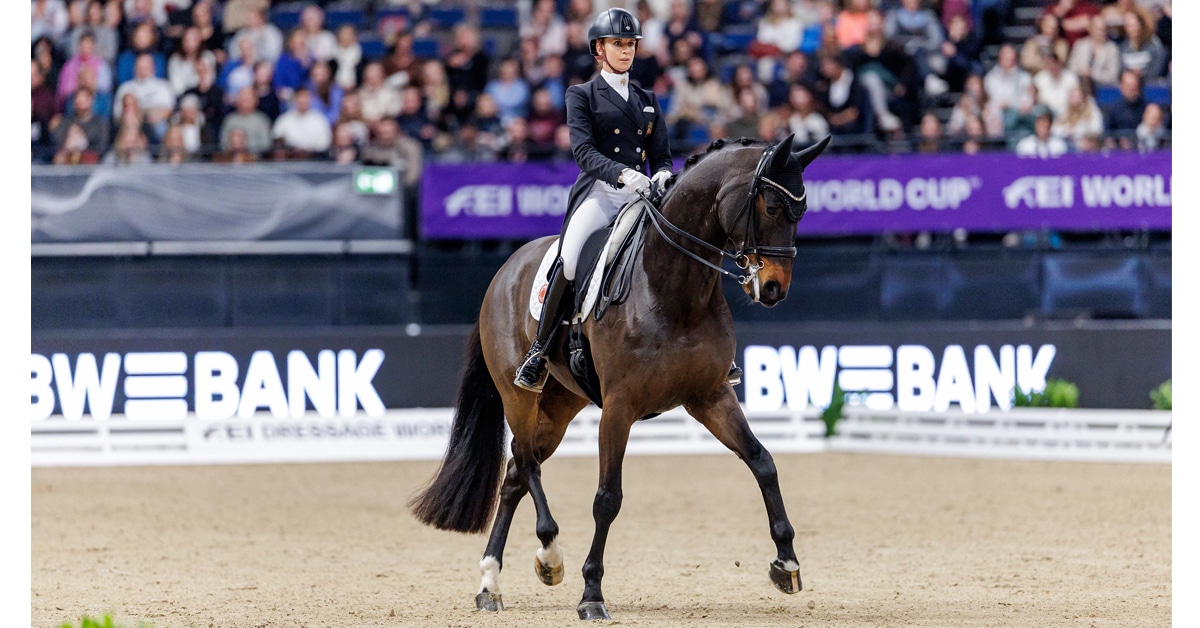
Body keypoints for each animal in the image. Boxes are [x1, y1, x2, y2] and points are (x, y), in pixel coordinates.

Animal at [409, 132, 831, 620]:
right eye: (772, 207)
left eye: (801, 212)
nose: (774, 289)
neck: (672, 287)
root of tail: (505, 269)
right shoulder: (619, 407)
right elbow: (607, 497)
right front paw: (591, 594)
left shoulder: (711, 396)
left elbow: (762, 462)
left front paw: (787, 562)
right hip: (520, 395)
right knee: (526, 461)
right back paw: (549, 556)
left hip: (560, 404)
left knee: (515, 472)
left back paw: (490, 583)